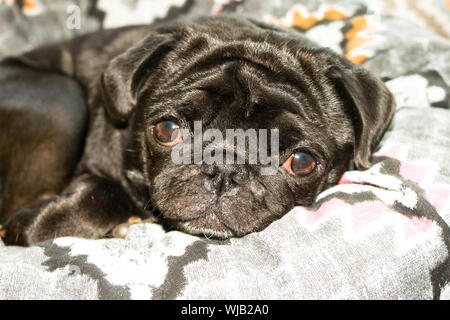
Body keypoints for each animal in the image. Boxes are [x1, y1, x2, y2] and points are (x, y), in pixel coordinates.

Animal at [0, 15, 394, 246]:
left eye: (301, 162)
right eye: (167, 129)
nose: (224, 168)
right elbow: (98, 195)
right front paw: (45, 224)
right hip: (62, 97)